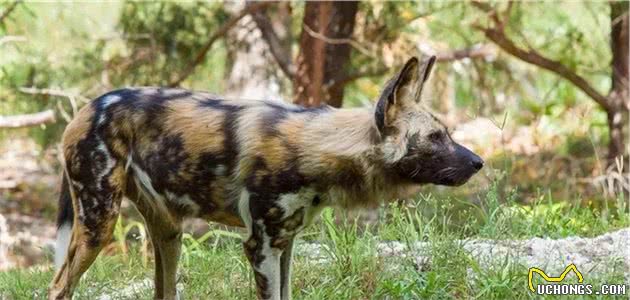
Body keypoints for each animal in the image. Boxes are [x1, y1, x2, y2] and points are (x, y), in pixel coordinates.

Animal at [49, 55, 484, 298]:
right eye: (436, 137)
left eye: (447, 133)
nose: (479, 162)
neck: (320, 148)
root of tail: (88, 107)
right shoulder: (259, 245)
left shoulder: (285, 243)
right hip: (98, 224)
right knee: (58, 286)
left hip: (169, 233)